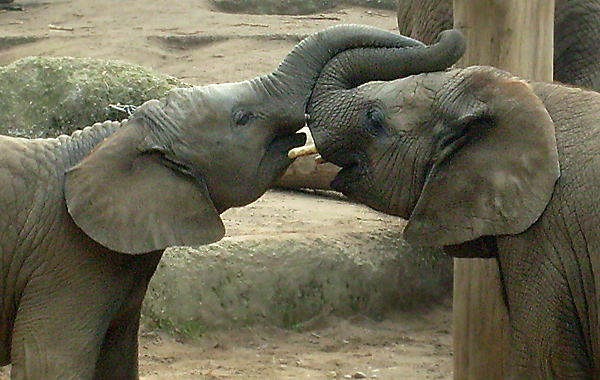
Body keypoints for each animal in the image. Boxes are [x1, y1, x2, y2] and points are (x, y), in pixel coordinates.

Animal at [0, 23, 446, 380]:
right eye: (242, 118)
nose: (444, 38)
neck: (113, 138)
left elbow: (118, 360)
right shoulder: (64, 257)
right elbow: (51, 363)